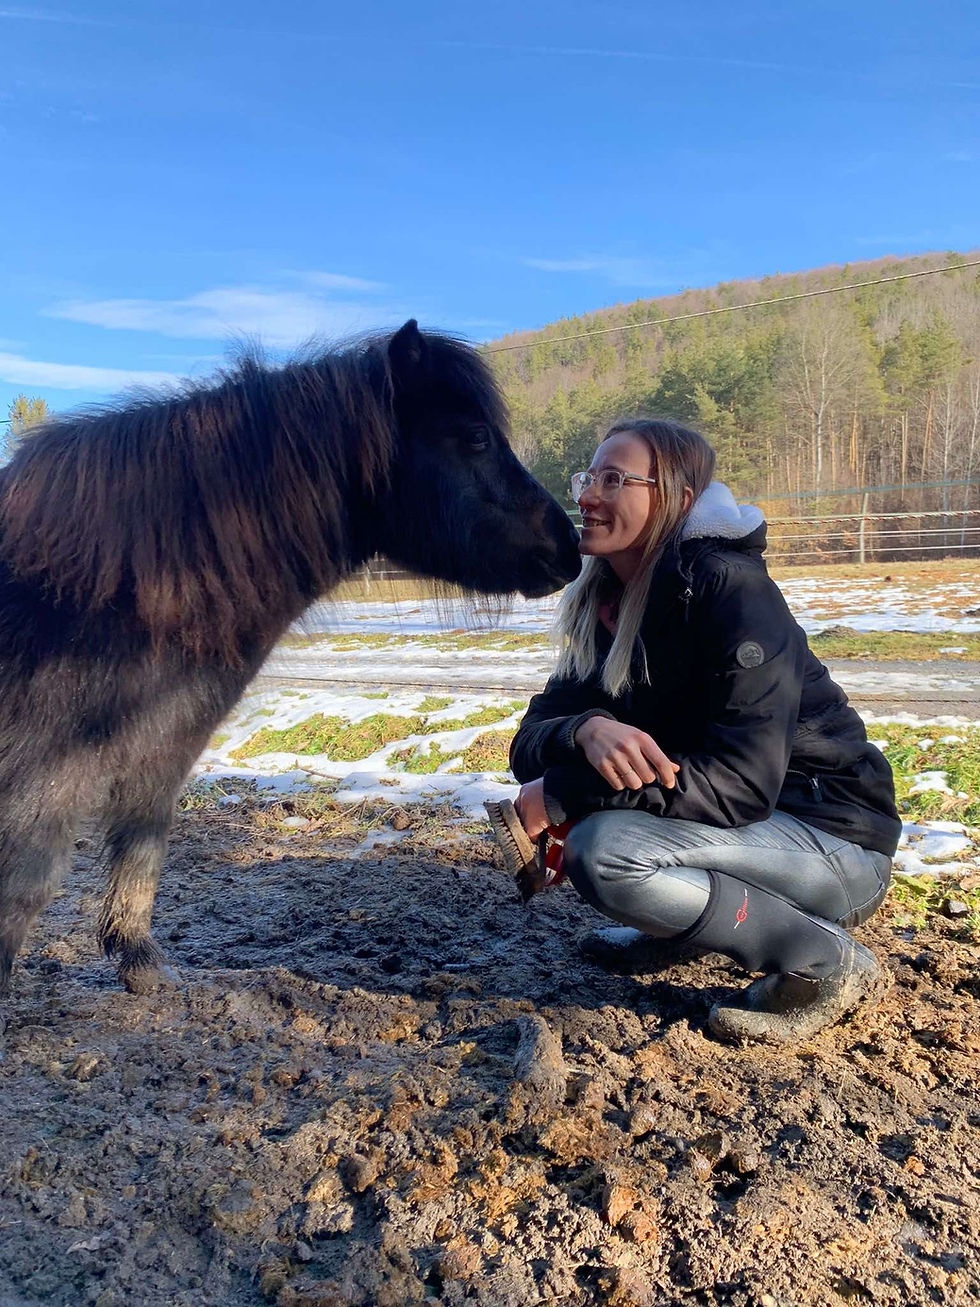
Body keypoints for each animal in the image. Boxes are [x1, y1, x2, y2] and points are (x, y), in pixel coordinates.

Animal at [0, 319, 581, 995]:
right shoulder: (46, 780)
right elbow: (26, 889)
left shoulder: (157, 753)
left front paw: (140, 964)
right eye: (477, 437)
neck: (109, 597)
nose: (568, 546)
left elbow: (141, 846)